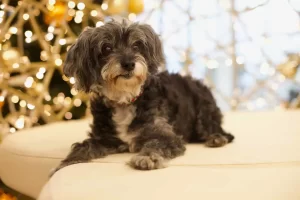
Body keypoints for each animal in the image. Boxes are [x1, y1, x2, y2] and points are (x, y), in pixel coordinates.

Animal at [51, 19, 234, 175]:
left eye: (136, 45)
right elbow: (83, 147)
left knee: (216, 129)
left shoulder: (166, 135)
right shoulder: (102, 138)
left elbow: (156, 144)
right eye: (107, 48)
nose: (129, 63)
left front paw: (147, 157)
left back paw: (216, 139)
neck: (125, 99)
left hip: (204, 109)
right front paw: (65, 163)